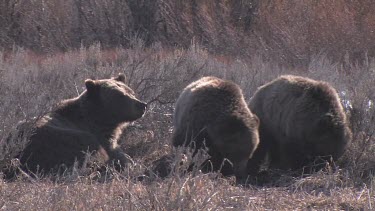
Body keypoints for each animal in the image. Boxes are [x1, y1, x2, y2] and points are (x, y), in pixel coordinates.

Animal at [6, 73, 147, 176]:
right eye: (121, 96)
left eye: (131, 92)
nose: (142, 105)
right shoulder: (99, 136)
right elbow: (118, 155)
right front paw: (129, 162)